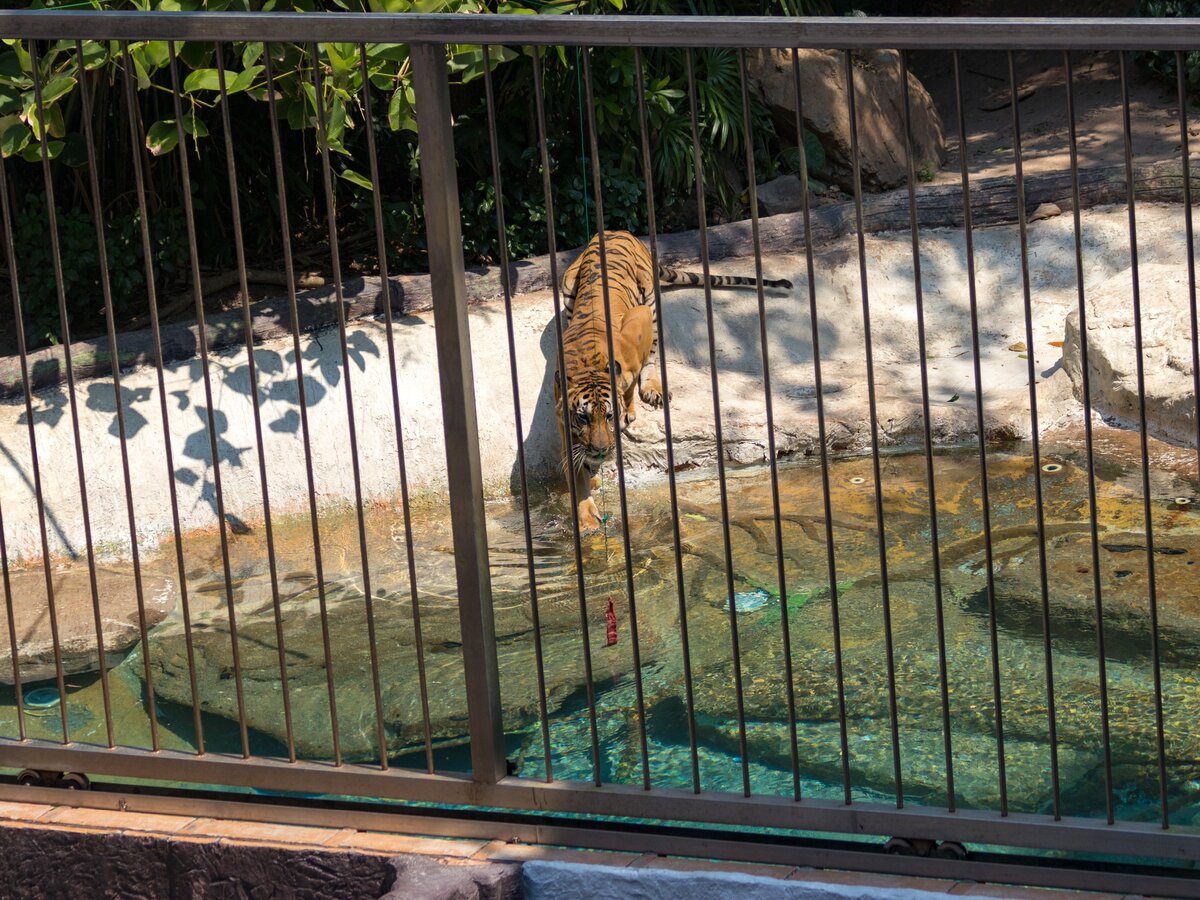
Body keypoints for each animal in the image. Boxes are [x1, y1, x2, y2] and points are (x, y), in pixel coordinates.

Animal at [554, 229, 796, 535]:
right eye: (583, 418)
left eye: (608, 415)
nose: (601, 451)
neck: (588, 365)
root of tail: (619, 231)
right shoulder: (567, 432)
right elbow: (577, 476)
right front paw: (587, 518)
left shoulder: (638, 329)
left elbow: (633, 379)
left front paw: (627, 412)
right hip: (567, 283)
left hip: (648, 299)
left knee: (653, 352)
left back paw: (652, 390)